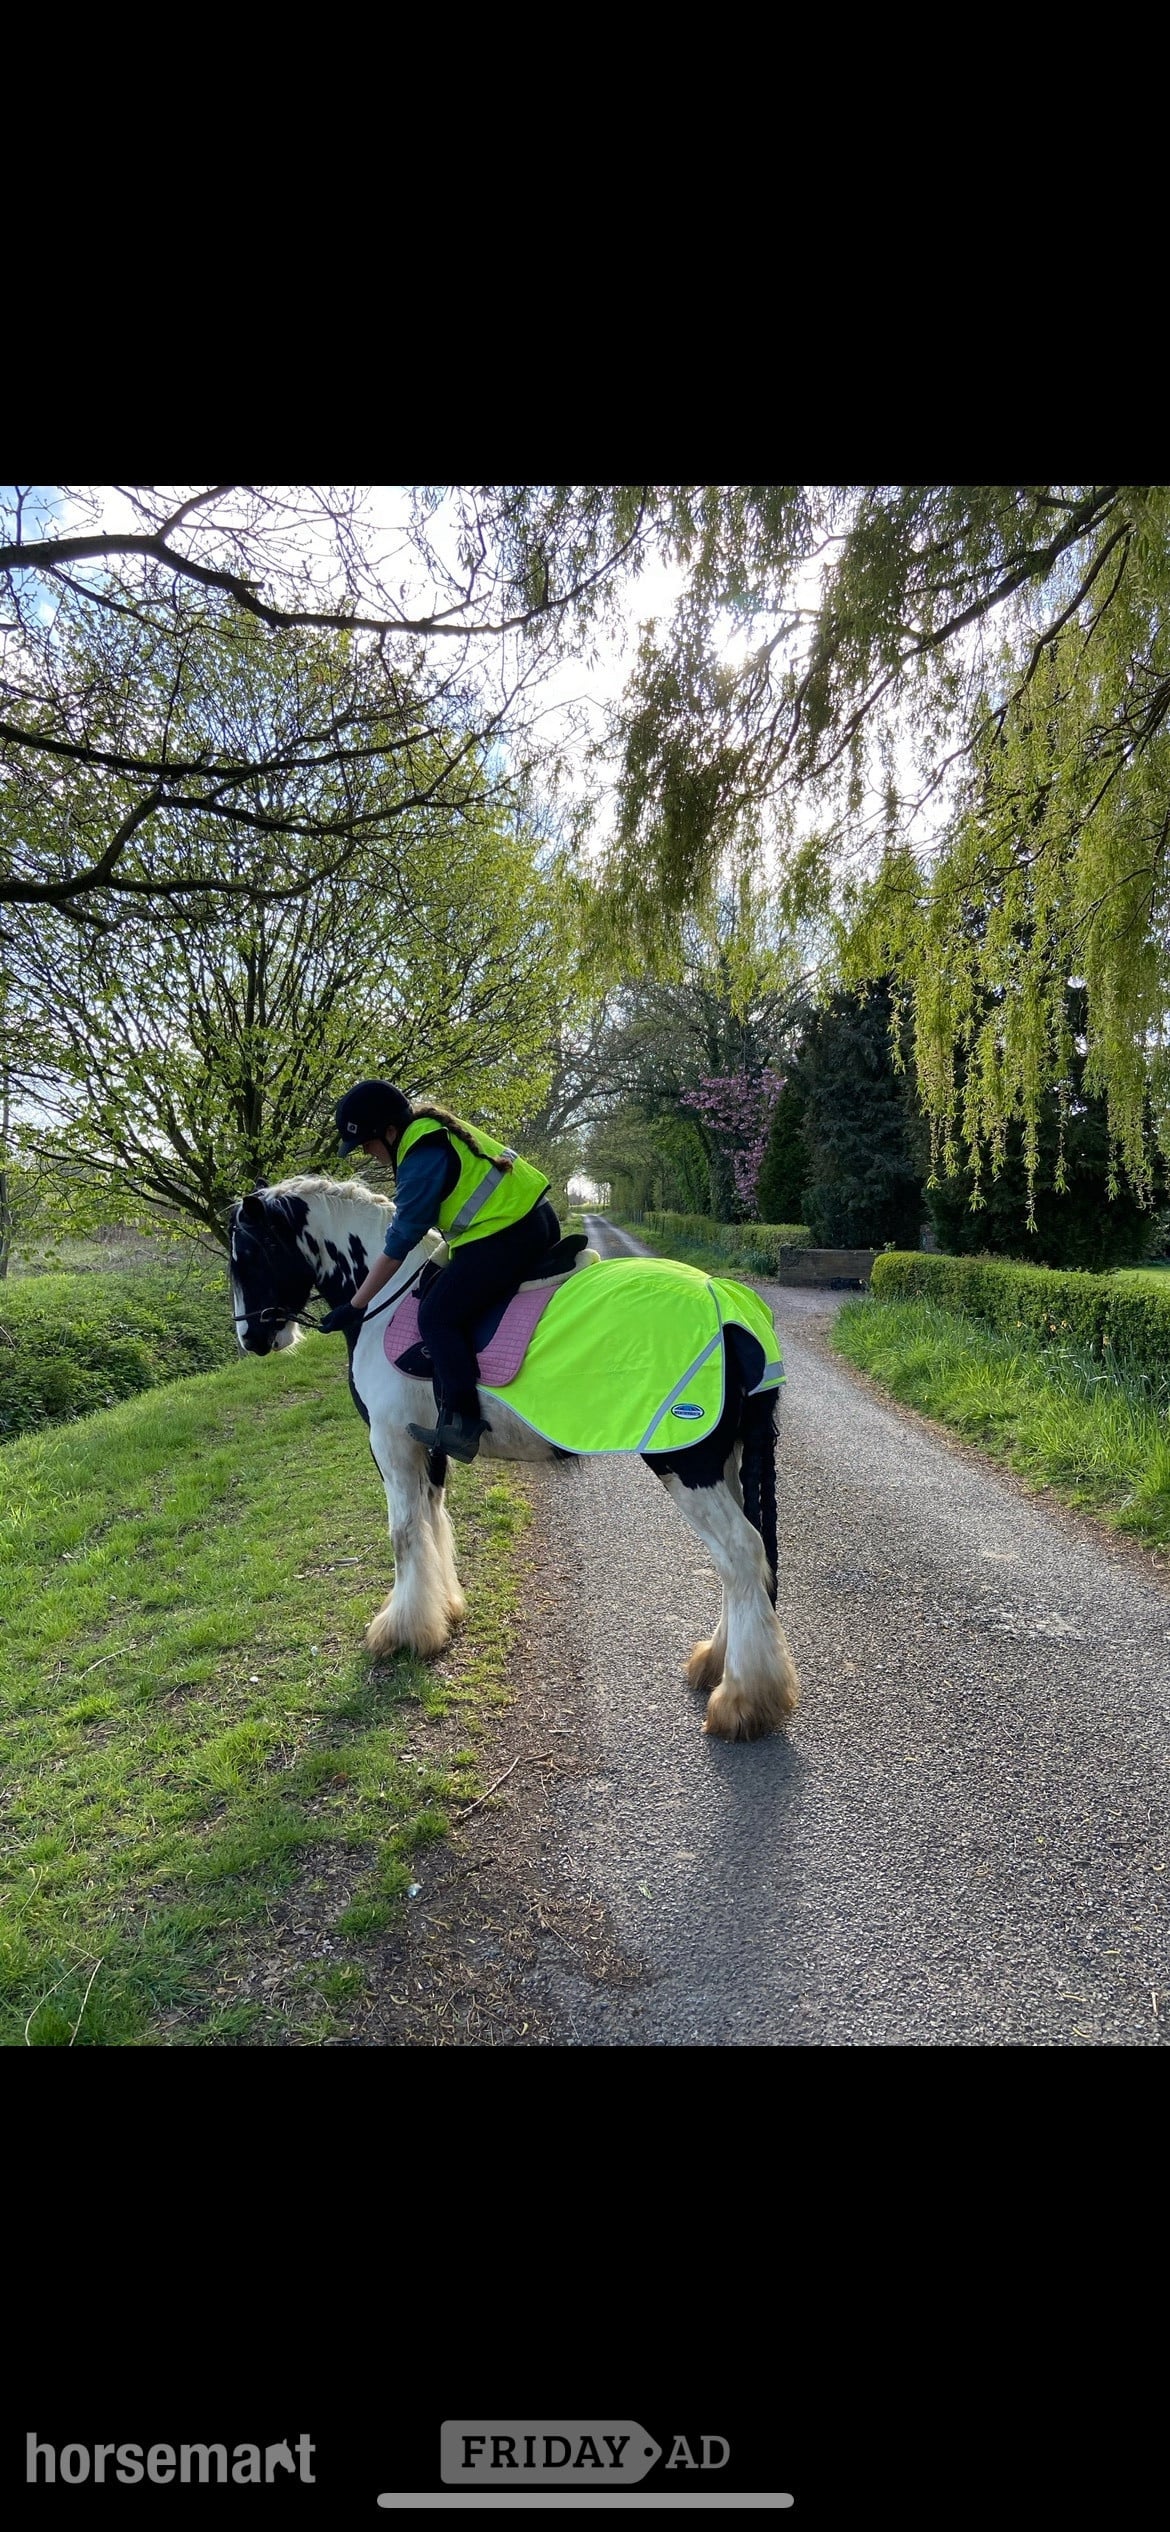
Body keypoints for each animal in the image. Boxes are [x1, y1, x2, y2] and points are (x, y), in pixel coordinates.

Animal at [228, 1174, 800, 1741]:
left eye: (248, 1253)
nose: (251, 1336)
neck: (386, 1302)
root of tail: (732, 1308)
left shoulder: (392, 1444)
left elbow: (404, 1534)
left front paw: (404, 1632)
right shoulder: (429, 1446)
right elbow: (433, 1521)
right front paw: (444, 1610)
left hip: (687, 1464)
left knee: (741, 1553)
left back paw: (743, 1699)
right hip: (724, 1461)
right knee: (744, 1560)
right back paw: (717, 1662)